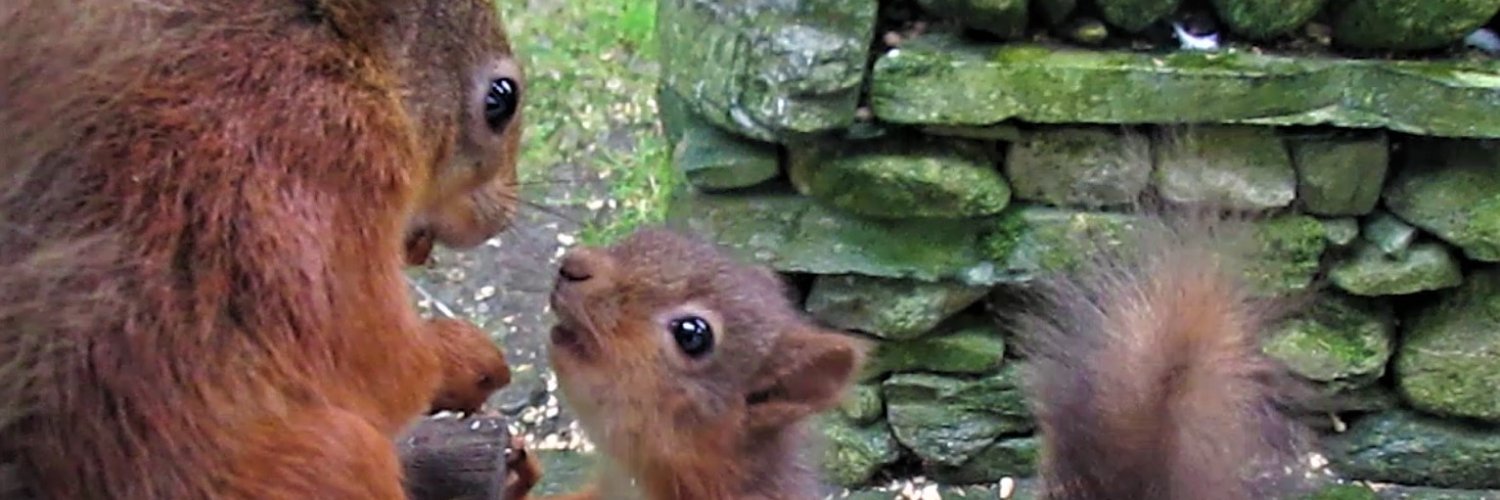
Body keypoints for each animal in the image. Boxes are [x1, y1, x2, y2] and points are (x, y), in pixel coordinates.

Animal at [0, 0, 527, 498]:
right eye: (501, 98)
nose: (502, 215)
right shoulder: (326, 169)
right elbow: (379, 358)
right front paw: (466, 358)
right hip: (327, 463)